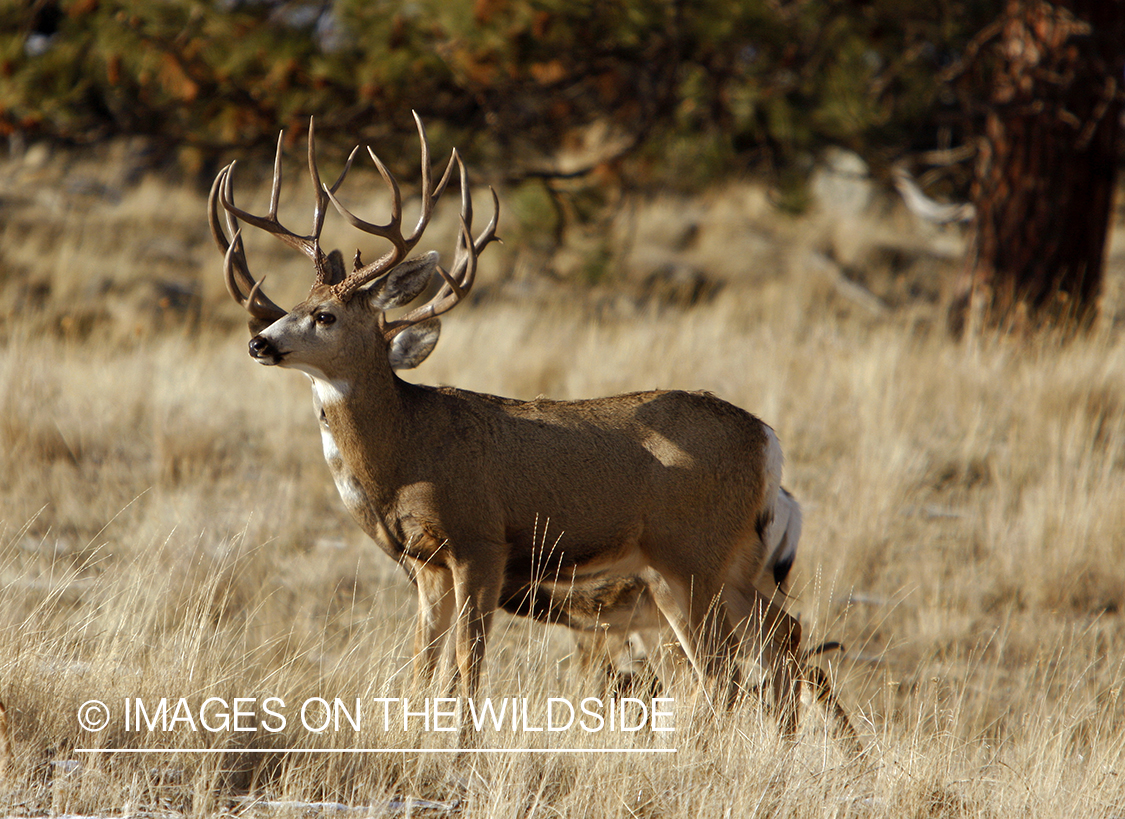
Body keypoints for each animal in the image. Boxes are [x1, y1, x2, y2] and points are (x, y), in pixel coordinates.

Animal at [208, 114, 858, 750]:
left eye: (325, 315)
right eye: (293, 305)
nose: (258, 342)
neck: (408, 451)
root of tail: (768, 440)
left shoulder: (481, 541)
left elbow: (466, 667)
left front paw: (460, 751)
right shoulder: (427, 564)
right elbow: (422, 667)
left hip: (692, 552)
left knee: (725, 671)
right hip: (731, 558)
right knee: (778, 640)